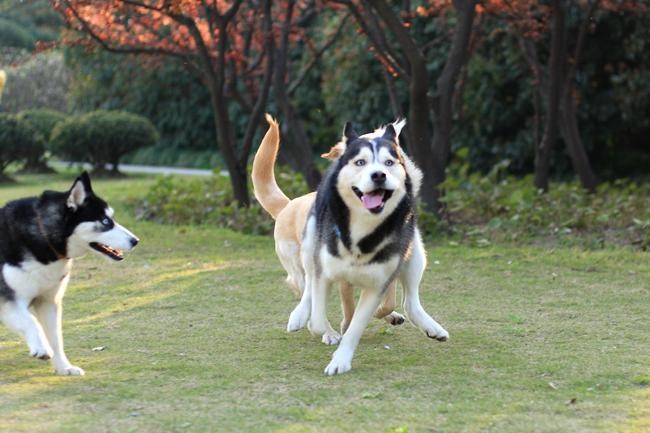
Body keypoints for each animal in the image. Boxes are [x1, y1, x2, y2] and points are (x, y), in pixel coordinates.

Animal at [0, 172, 138, 374]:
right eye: (106, 221)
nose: (135, 241)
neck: (44, 236)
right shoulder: (8, 301)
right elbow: (31, 321)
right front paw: (41, 348)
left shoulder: (49, 301)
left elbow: (56, 339)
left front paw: (64, 367)